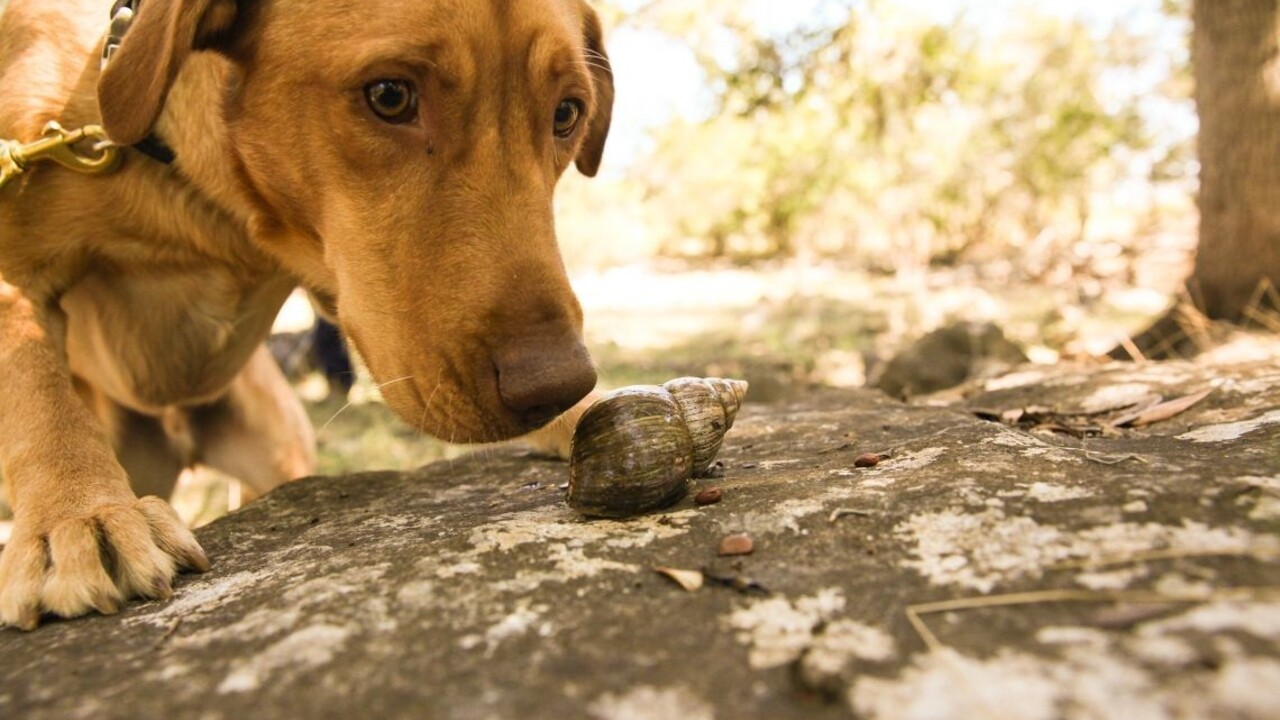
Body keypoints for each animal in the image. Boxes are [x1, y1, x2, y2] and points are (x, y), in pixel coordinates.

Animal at [0, 0, 609, 627]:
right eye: (390, 95)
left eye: (567, 113)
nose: (556, 388)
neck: (210, 208)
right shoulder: (16, 265)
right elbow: (35, 378)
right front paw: (75, 511)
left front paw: (584, 413)